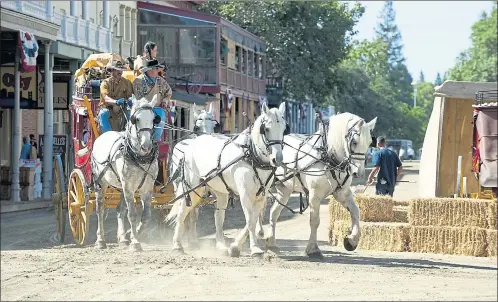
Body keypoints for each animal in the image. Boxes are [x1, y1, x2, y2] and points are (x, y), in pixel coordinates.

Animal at [90, 95, 159, 251]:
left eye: (154, 119)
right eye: (136, 119)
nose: (146, 146)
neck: (139, 157)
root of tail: (103, 135)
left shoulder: (147, 188)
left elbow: (146, 216)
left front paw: (132, 234)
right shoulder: (128, 187)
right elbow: (132, 214)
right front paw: (135, 242)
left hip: (121, 187)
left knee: (119, 210)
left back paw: (122, 238)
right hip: (101, 182)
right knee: (100, 209)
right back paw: (100, 240)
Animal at [165, 102, 286, 256]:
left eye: (284, 128)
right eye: (267, 129)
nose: (278, 159)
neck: (251, 155)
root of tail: (190, 146)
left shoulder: (261, 195)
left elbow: (252, 219)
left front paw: (235, 246)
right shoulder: (245, 194)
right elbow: (250, 220)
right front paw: (254, 249)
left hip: (220, 191)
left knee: (218, 217)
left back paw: (221, 246)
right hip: (191, 188)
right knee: (183, 212)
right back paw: (177, 245)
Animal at [262, 112, 376, 258]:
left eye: (369, 143)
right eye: (354, 142)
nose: (359, 173)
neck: (328, 157)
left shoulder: (342, 193)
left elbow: (356, 212)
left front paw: (351, 240)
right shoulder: (314, 195)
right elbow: (315, 221)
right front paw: (313, 249)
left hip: (285, 189)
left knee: (274, 213)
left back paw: (271, 244)